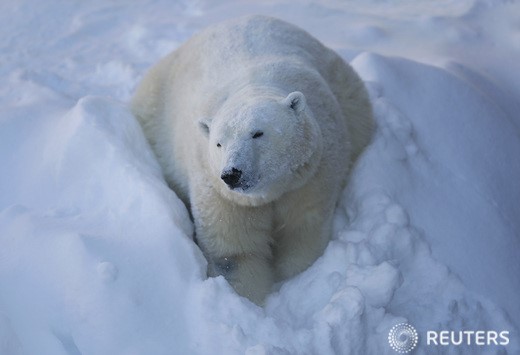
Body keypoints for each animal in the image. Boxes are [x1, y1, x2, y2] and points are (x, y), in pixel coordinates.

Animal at [132, 15, 372, 304]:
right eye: (219, 143)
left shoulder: (311, 175)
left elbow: (302, 229)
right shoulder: (221, 193)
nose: (232, 174)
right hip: (154, 110)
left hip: (346, 88)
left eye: (257, 133)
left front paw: (291, 276)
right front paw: (249, 298)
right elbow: (235, 252)